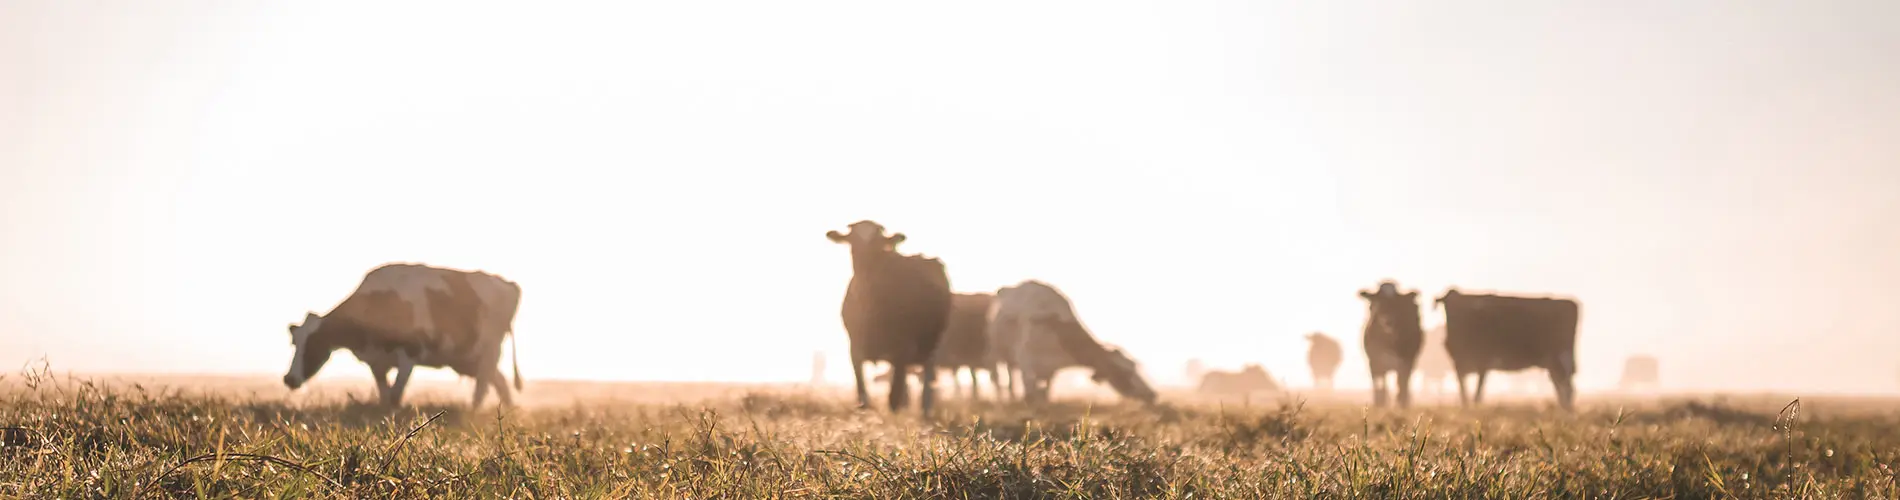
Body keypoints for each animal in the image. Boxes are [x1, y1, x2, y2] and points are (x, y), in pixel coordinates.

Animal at [282, 263, 523, 407]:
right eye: (295, 343)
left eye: (314, 344)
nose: (289, 379)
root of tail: (507, 283)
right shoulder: (376, 361)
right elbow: (385, 396)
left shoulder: (409, 354)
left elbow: (396, 395)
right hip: (466, 357)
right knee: (499, 380)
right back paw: (508, 411)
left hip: (490, 348)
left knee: (483, 384)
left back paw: (474, 411)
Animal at [827, 220, 954, 414]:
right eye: (852, 240)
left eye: (877, 242)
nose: (865, 262)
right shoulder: (855, 347)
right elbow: (862, 392)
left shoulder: (903, 348)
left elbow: (893, 397)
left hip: (932, 343)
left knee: (927, 378)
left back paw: (925, 410)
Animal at [988, 280, 1157, 405]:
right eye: (1125, 372)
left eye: (1134, 366)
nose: (1152, 394)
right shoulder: (1025, 359)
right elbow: (1029, 393)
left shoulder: (1051, 371)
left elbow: (1046, 392)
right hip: (1002, 355)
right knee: (1008, 381)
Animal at [1434, 287, 1581, 410]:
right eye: (1446, 306)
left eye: (1459, 307)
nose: (1453, 319)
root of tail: (1570, 302)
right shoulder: (1458, 364)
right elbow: (1463, 391)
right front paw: (1466, 407)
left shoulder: (1483, 362)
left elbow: (1477, 392)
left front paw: (1475, 407)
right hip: (1553, 362)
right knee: (1560, 385)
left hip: (1562, 357)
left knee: (1567, 387)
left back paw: (1566, 410)